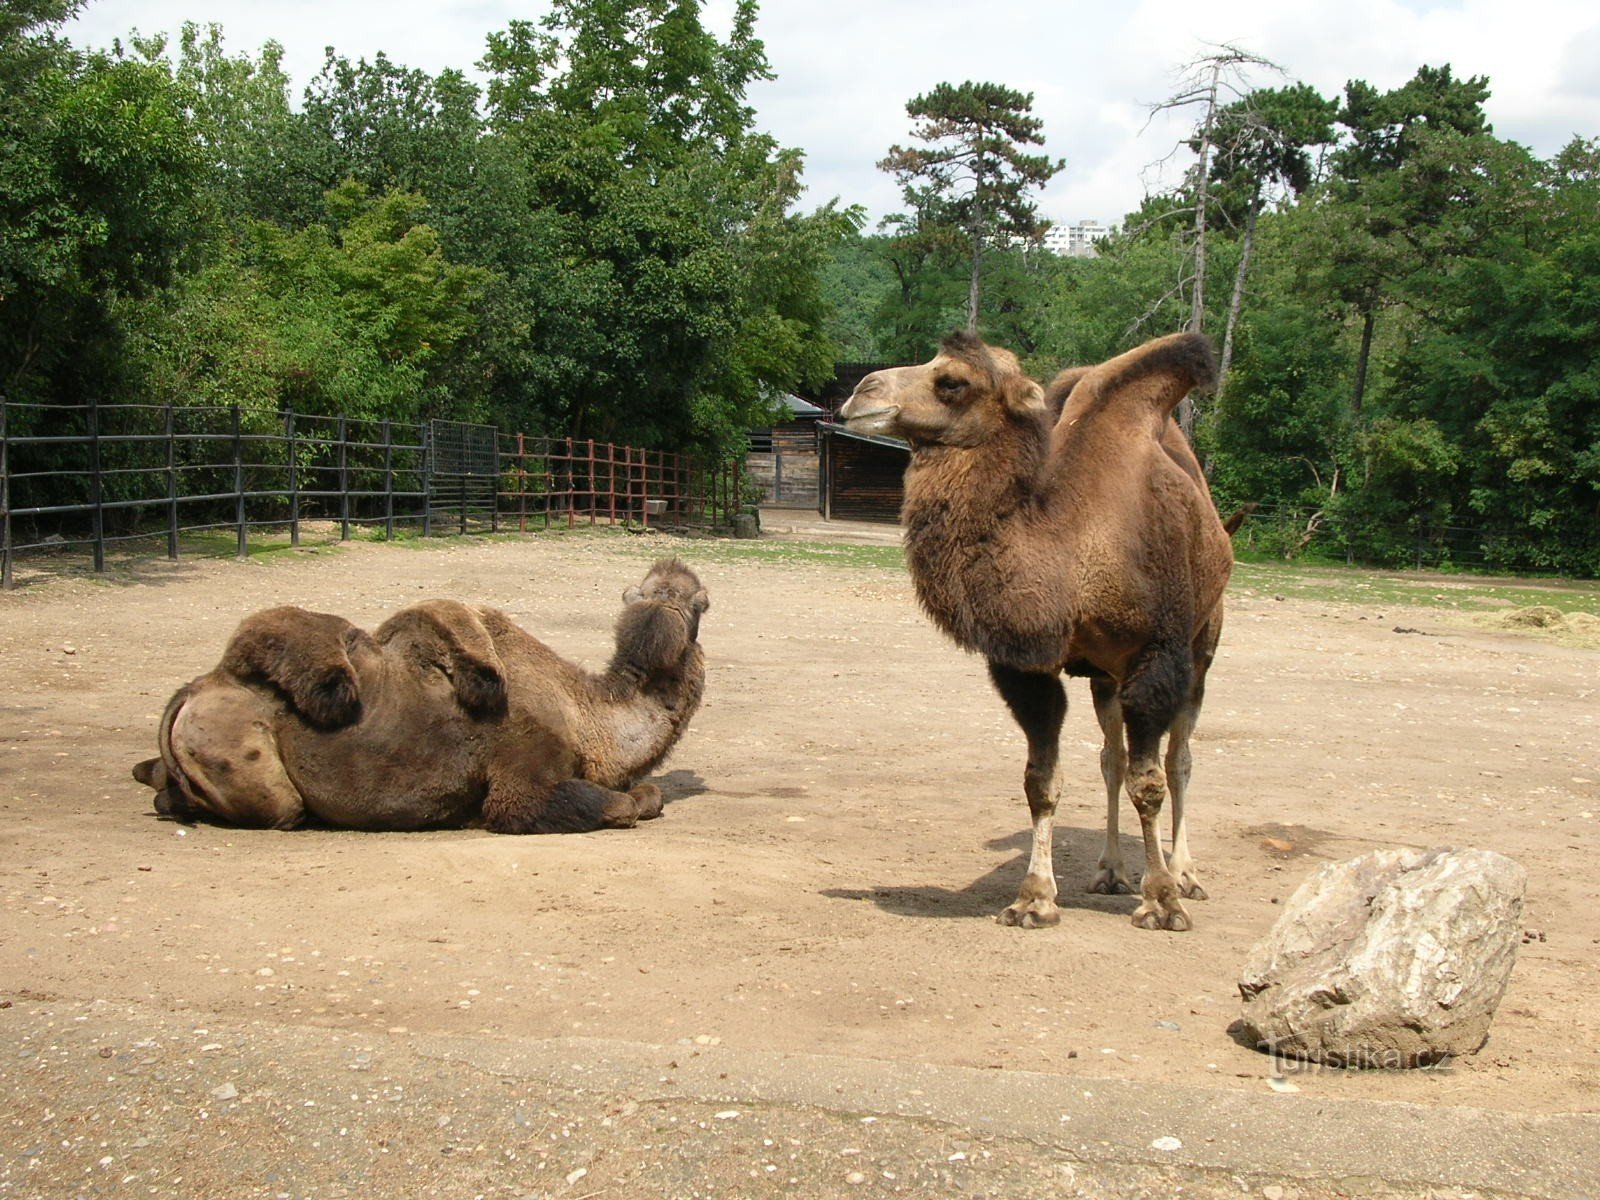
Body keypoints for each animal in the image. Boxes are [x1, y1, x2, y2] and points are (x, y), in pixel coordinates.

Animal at [134, 556, 710, 832]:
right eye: (703, 602)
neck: (587, 716)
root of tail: (194, 691)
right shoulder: (523, 776)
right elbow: (621, 806)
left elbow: (648, 796)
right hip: (256, 769)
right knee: (279, 808)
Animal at [844, 334, 1228, 934]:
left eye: (952, 381)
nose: (860, 392)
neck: (1072, 549)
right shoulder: (1028, 669)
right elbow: (1041, 782)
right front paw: (1034, 899)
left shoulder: (1156, 657)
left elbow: (1151, 784)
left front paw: (1163, 901)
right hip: (1104, 677)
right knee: (1111, 758)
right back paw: (1111, 871)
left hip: (1204, 640)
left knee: (1178, 758)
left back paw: (1185, 873)